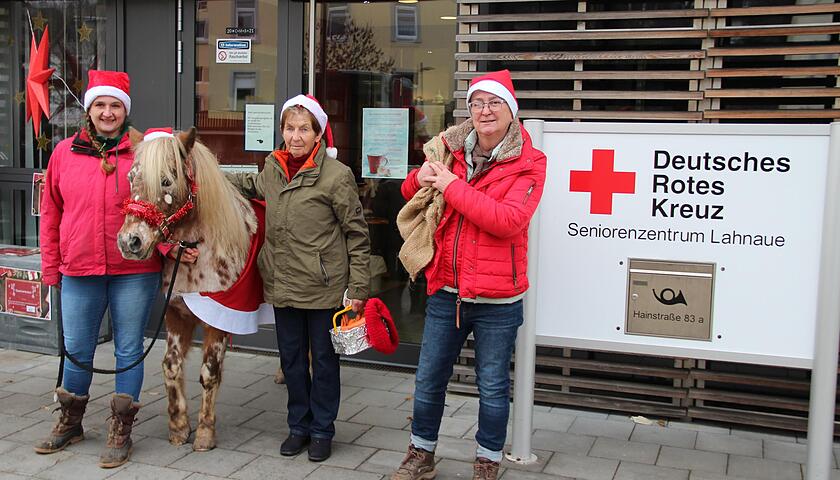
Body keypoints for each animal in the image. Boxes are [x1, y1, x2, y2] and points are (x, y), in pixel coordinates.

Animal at [115, 126, 270, 450]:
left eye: (166, 180)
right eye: (131, 177)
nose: (130, 242)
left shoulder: (220, 318)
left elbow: (209, 372)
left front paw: (204, 433)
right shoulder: (176, 314)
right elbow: (171, 365)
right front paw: (178, 427)